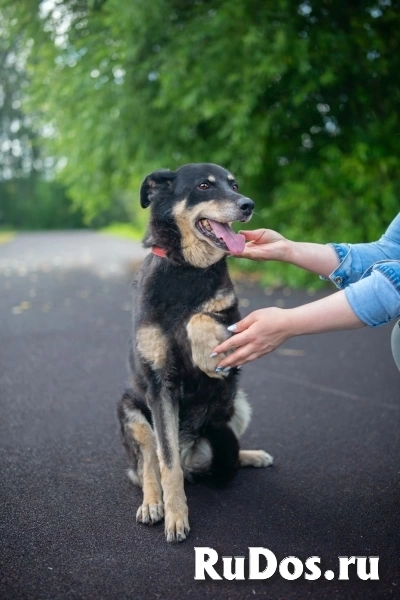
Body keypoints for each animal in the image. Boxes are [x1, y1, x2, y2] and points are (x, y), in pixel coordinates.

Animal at [117, 162, 274, 540]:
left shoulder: (235, 324)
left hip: (237, 404)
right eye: (205, 186)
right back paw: (152, 503)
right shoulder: (160, 387)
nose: (248, 205)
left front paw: (205, 355)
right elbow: (167, 463)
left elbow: (199, 317)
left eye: (234, 185)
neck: (188, 268)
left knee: (229, 449)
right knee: (149, 466)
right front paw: (176, 515)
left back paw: (251, 455)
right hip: (131, 412)